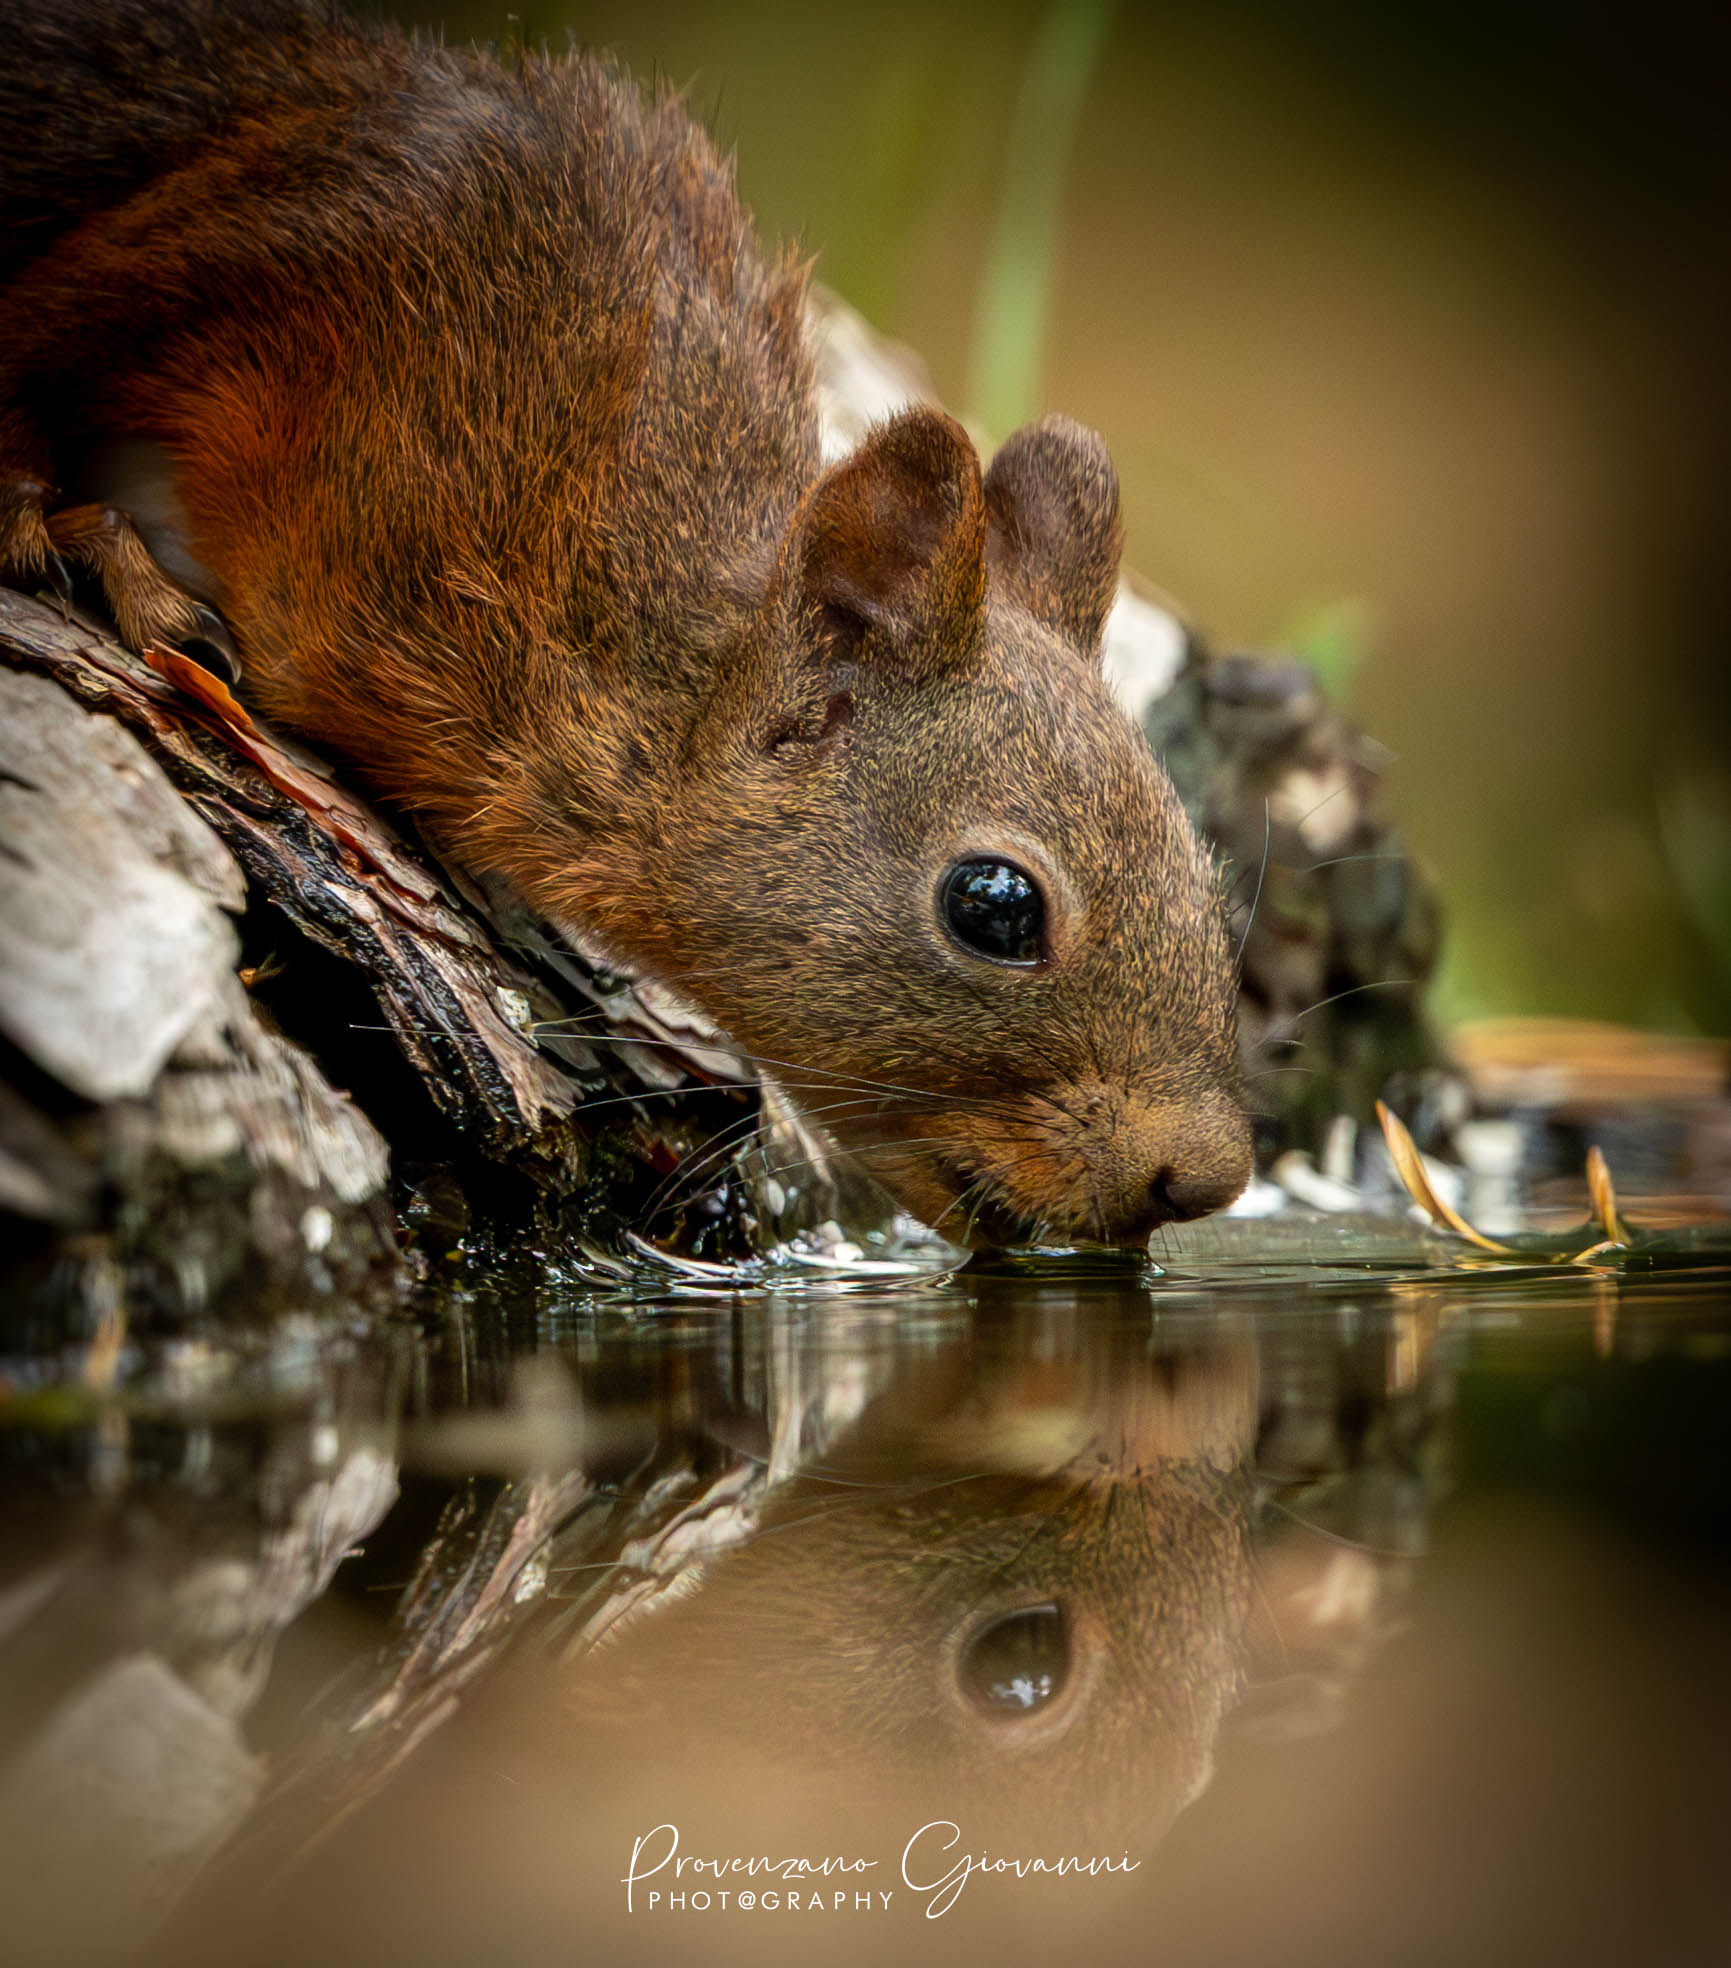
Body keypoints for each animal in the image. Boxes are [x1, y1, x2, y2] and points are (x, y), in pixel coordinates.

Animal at [0, 0, 1251, 1244]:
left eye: (1210, 874)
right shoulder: (296, 234)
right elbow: (42, 333)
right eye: (994, 908)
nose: (1206, 1179)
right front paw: (63, 529)